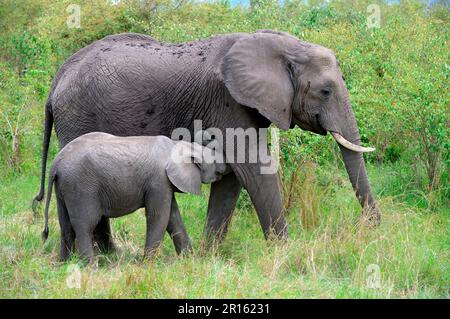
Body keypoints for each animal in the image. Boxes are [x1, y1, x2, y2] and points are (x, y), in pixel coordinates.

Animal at [41, 132, 225, 262]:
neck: (177, 146)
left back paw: (64, 263)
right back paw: (89, 267)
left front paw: (190, 261)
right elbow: (159, 217)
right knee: (85, 225)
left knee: (66, 225)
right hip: (81, 187)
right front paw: (147, 265)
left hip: (64, 187)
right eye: (214, 160)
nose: (223, 169)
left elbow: (173, 218)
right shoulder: (158, 180)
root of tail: (56, 163)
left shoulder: (164, 184)